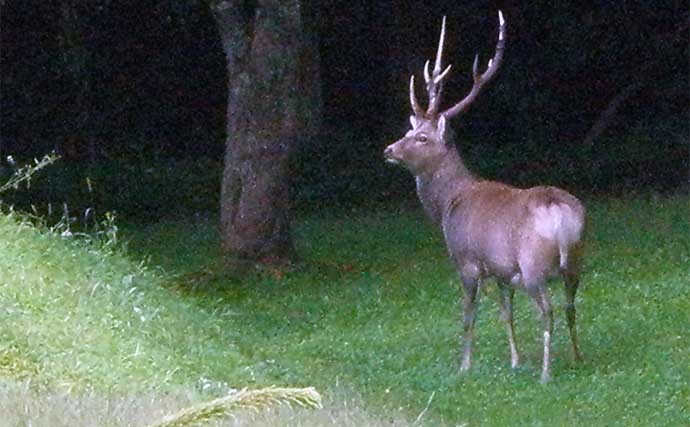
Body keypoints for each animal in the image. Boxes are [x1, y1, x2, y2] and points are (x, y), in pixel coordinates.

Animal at [384, 11, 584, 382]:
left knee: (548, 311)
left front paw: (464, 365)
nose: (389, 150)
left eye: (421, 137)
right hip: (577, 258)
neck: (448, 203)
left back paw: (546, 374)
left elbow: (468, 315)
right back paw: (577, 357)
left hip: (533, 265)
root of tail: (558, 210)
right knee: (570, 306)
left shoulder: (466, 260)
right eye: (408, 131)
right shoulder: (502, 269)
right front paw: (515, 360)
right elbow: (506, 312)